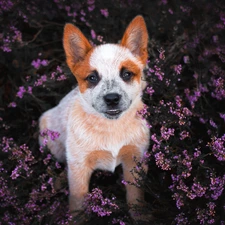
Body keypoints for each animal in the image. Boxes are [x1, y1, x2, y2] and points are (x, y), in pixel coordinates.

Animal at [39, 15, 149, 218]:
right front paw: (75, 219)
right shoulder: (79, 166)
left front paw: (142, 216)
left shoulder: (135, 159)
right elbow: (77, 203)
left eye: (127, 74)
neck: (111, 128)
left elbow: (135, 197)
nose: (112, 99)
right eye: (92, 78)